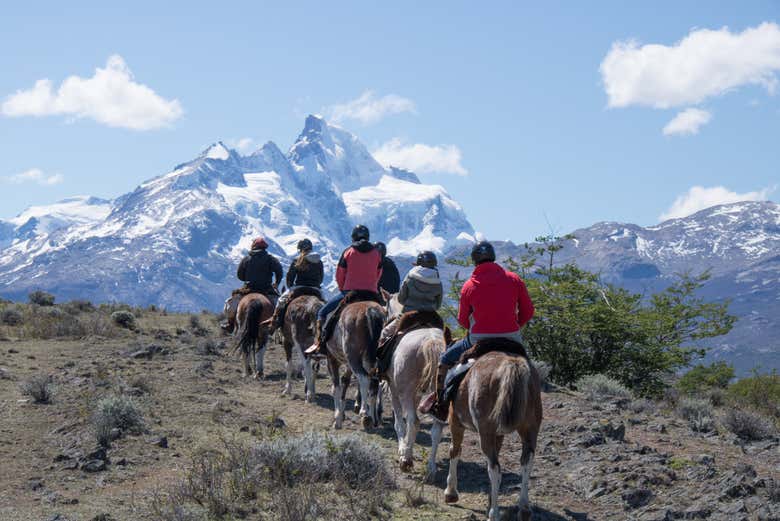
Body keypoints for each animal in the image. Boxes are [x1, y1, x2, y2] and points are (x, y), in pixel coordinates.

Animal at [324, 298, 386, 428]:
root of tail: (371, 311)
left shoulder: (332, 359)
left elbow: (336, 387)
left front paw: (337, 419)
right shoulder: (348, 365)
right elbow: (345, 381)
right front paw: (341, 414)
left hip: (353, 357)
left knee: (364, 379)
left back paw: (365, 412)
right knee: (374, 383)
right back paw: (372, 418)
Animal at [442, 348, 544, 520]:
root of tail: (512, 364)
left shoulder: (455, 422)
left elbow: (454, 451)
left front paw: (451, 493)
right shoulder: (498, 435)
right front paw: (490, 500)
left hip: (485, 432)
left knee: (494, 469)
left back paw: (494, 513)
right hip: (530, 429)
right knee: (526, 462)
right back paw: (524, 509)